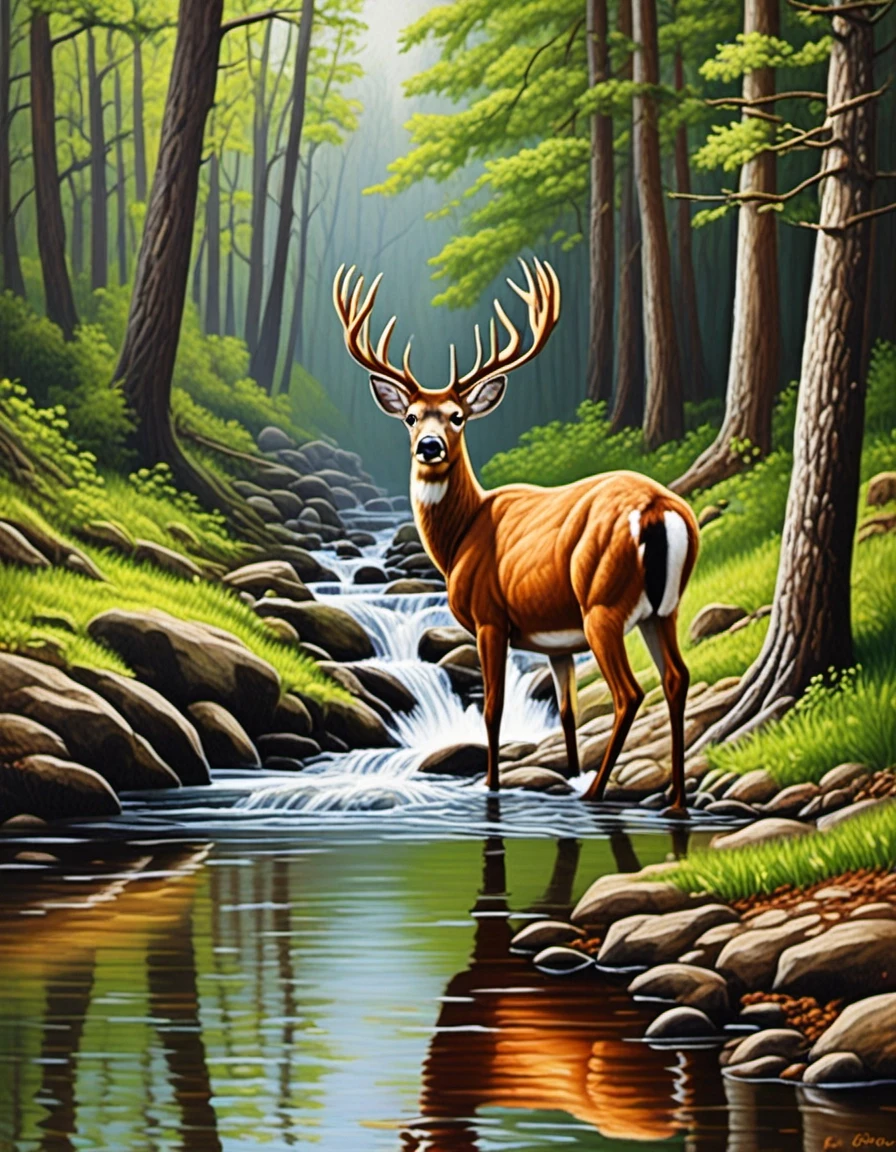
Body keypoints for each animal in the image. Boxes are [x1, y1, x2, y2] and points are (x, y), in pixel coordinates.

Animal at [333, 257, 699, 814]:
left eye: (458, 416)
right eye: (411, 416)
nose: (430, 447)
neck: (461, 537)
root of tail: (659, 509)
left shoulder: (490, 616)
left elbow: (493, 708)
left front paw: (492, 786)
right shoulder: (555, 641)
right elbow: (566, 711)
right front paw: (565, 771)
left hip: (603, 603)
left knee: (630, 692)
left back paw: (597, 792)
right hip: (664, 609)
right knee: (677, 679)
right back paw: (674, 800)